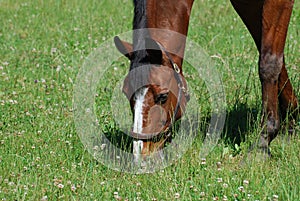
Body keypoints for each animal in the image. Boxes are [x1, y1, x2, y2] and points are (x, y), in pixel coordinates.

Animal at [113, 0, 298, 160]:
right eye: (127, 94)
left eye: (163, 96)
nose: (140, 155)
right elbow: (268, 52)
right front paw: (291, 122)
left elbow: (269, 62)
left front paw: (263, 142)